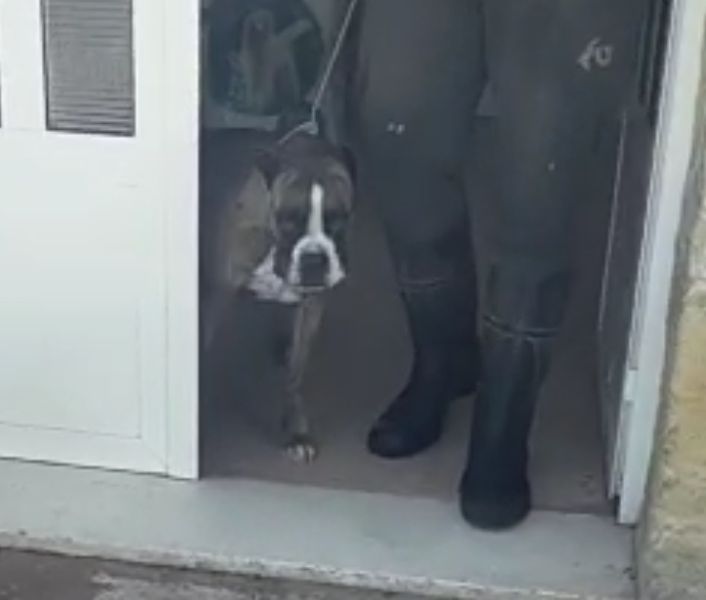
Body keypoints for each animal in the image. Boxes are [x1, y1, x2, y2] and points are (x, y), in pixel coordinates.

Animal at [200, 129, 354, 462]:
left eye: (339, 219)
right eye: (288, 220)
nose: (314, 259)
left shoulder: (312, 306)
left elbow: (296, 373)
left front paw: (296, 431)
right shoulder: (214, 301)